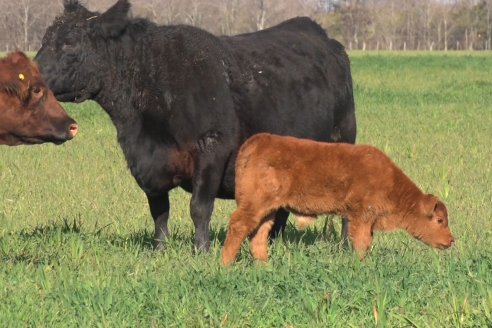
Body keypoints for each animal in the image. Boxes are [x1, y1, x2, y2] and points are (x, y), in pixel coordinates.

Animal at [35, 0, 358, 251]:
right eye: (44, 41)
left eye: (69, 43)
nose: (32, 75)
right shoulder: (145, 163)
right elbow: (159, 211)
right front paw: (159, 250)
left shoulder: (212, 148)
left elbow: (199, 207)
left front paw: (201, 250)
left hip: (344, 140)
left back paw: (345, 246)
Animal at [222, 132, 454, 266]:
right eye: (440, 220)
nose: (451, 240)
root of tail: (255, 142)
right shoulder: (361, 217)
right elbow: (362, 243)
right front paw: (361, 265)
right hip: (255, 204)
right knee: (238, 225)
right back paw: (226, 265)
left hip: (268, 209)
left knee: (258, 234)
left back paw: (265, 266)